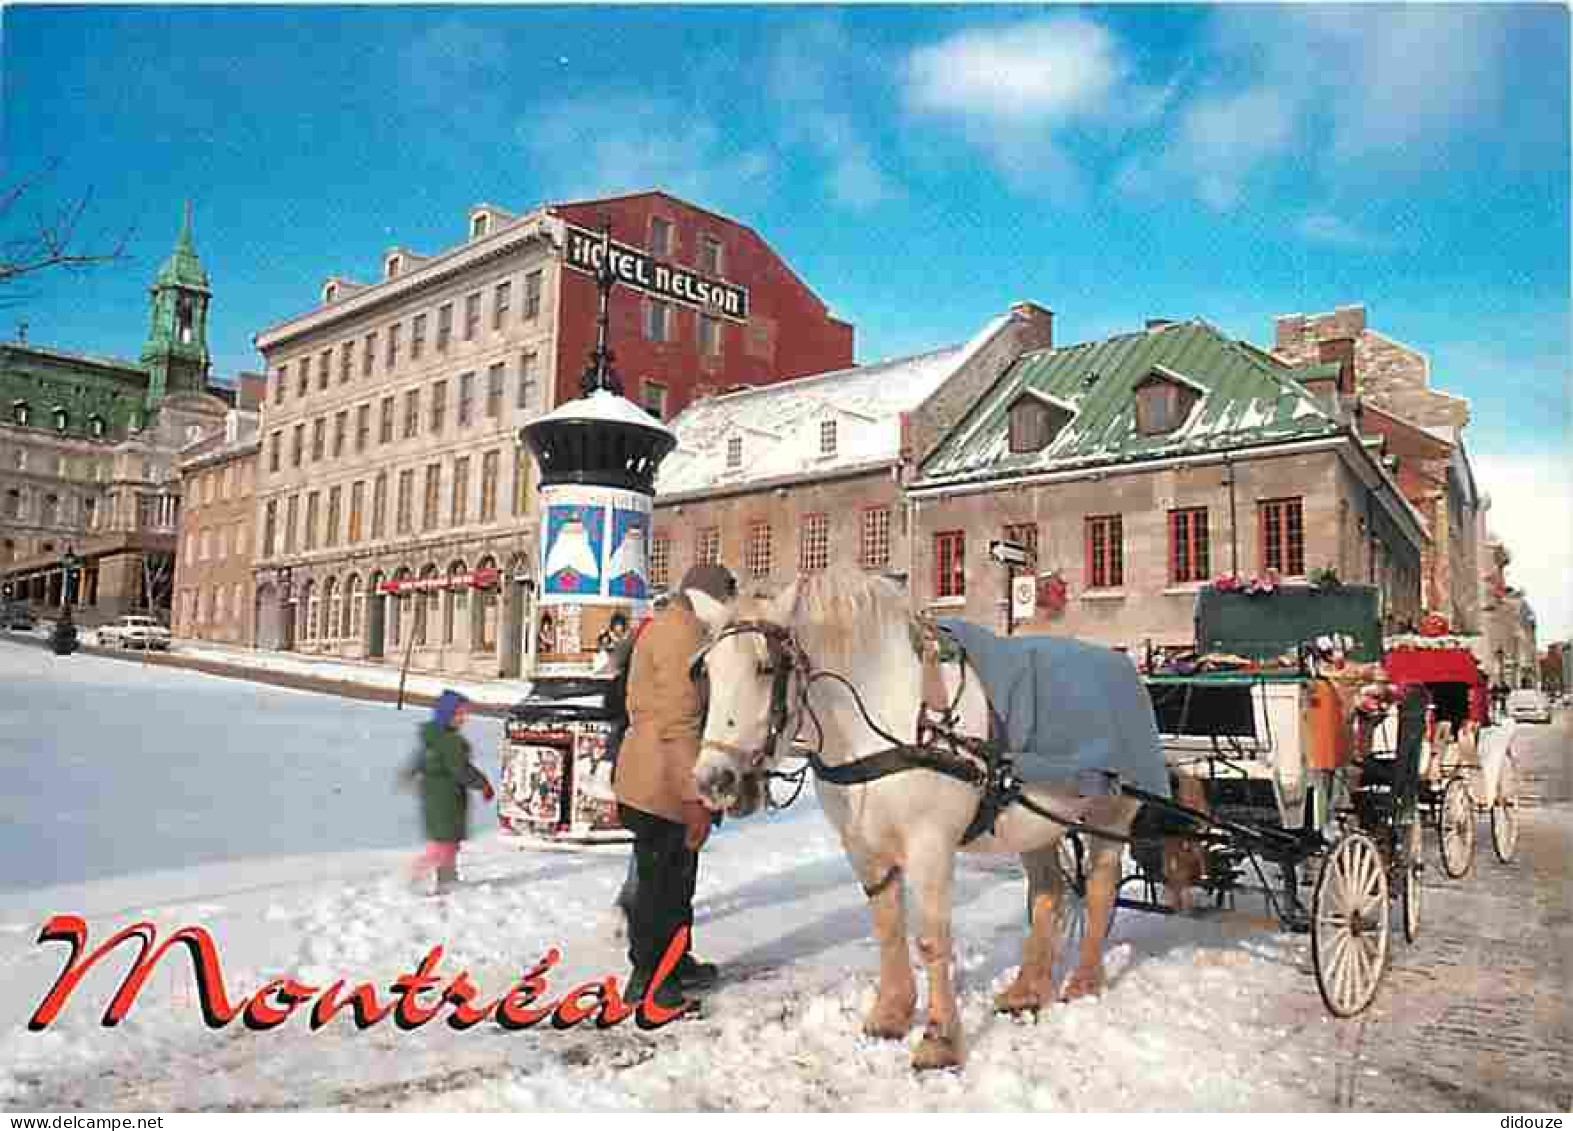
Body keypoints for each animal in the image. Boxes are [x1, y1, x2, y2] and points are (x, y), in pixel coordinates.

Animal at [695, 569, 1151, 1075]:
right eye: (708, 672)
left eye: (764, 668)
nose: (714, 780)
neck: (885, 717)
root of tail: (1121, 665)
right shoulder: (862, 846)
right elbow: (888, 926)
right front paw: (890, 1014)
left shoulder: (930, 844)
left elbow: (931, 938)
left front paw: (940, 1039)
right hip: (1036, 822)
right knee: (1047, 893)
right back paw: (1026, 990)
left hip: (1111, 813)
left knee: (1100, 888)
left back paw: (1085, 980)